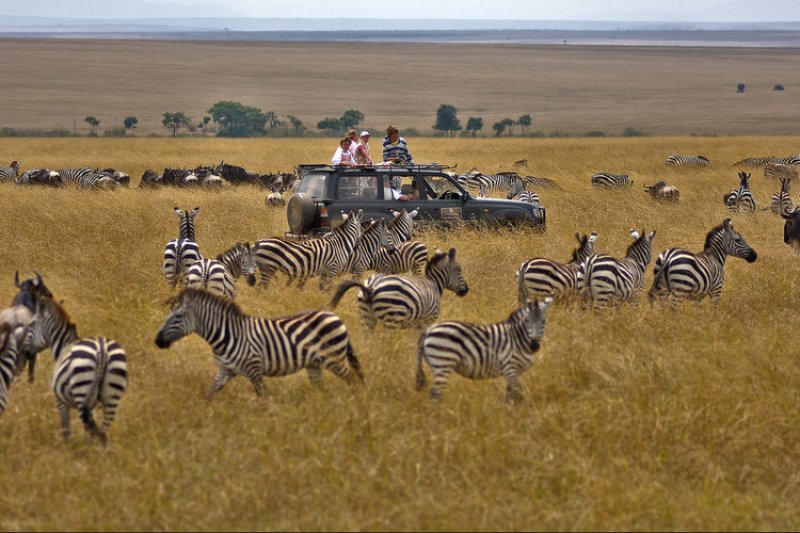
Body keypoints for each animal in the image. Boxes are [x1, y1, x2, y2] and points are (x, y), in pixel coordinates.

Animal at [24, 296, 128, 444]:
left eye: (31, 325)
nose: (25, 352)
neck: (64, 346)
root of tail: (101, 350)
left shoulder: (60, 401)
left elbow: (66, 429)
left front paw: (66, 447)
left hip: (82, 391)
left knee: (91, 429)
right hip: (111, 395)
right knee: (103, 433)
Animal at [154, 286, 366, 400]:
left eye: (178, 316)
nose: (157, 341)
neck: (227, 335)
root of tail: (335, 316)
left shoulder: (254, 368)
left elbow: (262, 396)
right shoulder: (226, 370)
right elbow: (210, 392)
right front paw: (204, 415)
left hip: (333, 359)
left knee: (352, 379)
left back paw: (355, 403)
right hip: (314, 364)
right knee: (323, 389)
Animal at [330, 248, 468, 330]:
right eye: (459, 270)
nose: (466, 290)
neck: (433, 284)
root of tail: (370, 287)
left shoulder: (415, 324)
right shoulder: (427, 320)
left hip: (367, 317)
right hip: (392, 318)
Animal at [416, 298, 552, 402]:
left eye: (543, 321)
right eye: (527, 321)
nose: (534, 345)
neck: (517, 338)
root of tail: (429, 330)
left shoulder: (515, 372)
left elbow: (510, 394)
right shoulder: (510, 368)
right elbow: (517, 394)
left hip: (437, 366)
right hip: (443, 363)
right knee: (435, 395)